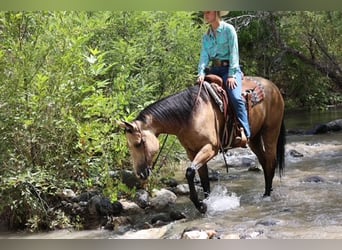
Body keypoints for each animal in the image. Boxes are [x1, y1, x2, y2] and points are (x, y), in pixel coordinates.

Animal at [119, 76, 284, 213]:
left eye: (139, 143)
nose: (140, 174)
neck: (189, 115)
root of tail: (274, 87)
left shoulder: (210, 148)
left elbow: (190, 172)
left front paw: (200, 205)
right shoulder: (193, 152)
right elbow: (204, 180)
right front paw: (207, 203)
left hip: (270, 133)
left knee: (270, 162)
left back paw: (267, 195)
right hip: (254, 139)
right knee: (264, 162)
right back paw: (265, 193)